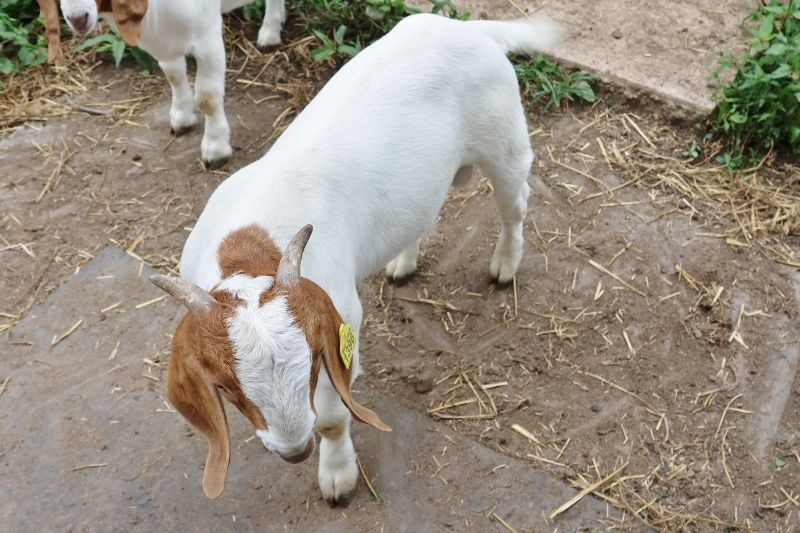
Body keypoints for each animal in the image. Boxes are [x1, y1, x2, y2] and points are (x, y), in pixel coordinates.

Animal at [48, 0, 290, 166]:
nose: (77, 18)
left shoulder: (208, 37)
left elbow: (208, 99)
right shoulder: (164, 42)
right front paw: (182, 119)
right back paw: (271, 30)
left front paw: (215, 149)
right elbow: (174, 75)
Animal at [150, 13, 560, 502]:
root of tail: (469, 29)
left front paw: (337, 476)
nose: (294, 452)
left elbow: (331, 417)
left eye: (311, 362)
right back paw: (403, 263)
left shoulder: (340, 319)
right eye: (227, 387)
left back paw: (505, 265)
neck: (249, 244)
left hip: (505, 144)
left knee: (514, 205)